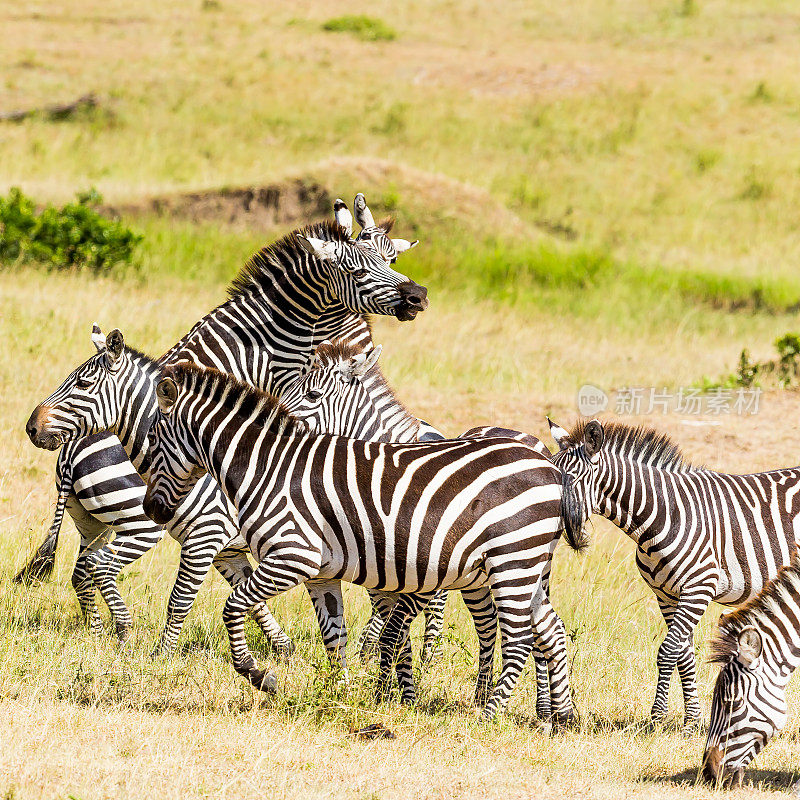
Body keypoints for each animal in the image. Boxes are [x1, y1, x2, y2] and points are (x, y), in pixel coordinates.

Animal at [144, 366, 580, 720]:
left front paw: (258, 674)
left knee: (520, 638)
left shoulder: (292, 556)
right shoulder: (319, 574)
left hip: (512, 561)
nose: (152, 509)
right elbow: (334, 637)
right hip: (524, 567)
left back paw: (488, 715)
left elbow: (233, 607)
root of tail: (549, 466)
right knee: (552, 631)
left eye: (151, 440)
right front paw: (339, 694)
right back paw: (560, 716)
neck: (267, 468)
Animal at [552, 418, 800, 732]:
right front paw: (692, 720)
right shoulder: (667, 595)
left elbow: (668, 650)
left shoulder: (699, 588)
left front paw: (657, 718)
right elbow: (684, 653)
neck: (661, 518)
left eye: (569, 479)